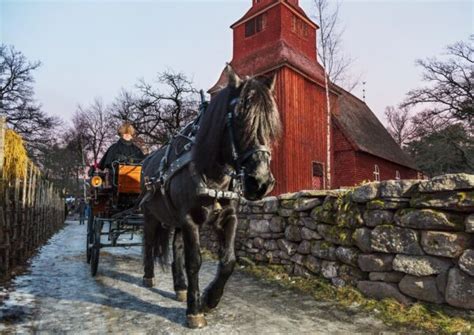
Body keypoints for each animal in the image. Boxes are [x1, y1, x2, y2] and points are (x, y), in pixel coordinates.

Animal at [141, 66, 282, 330]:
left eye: (270, 124)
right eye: (239, 118)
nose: (260, 182)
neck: (214, 175)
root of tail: (146, 160)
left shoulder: (228, 217)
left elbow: (228, 261)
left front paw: (209, 299)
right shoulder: (189, 219)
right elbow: (194, 261)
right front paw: (195, 311)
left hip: (174, 219)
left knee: (176, 247)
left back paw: (180, 286)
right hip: (150, 215)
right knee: (148, 243)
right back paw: (148, 276)